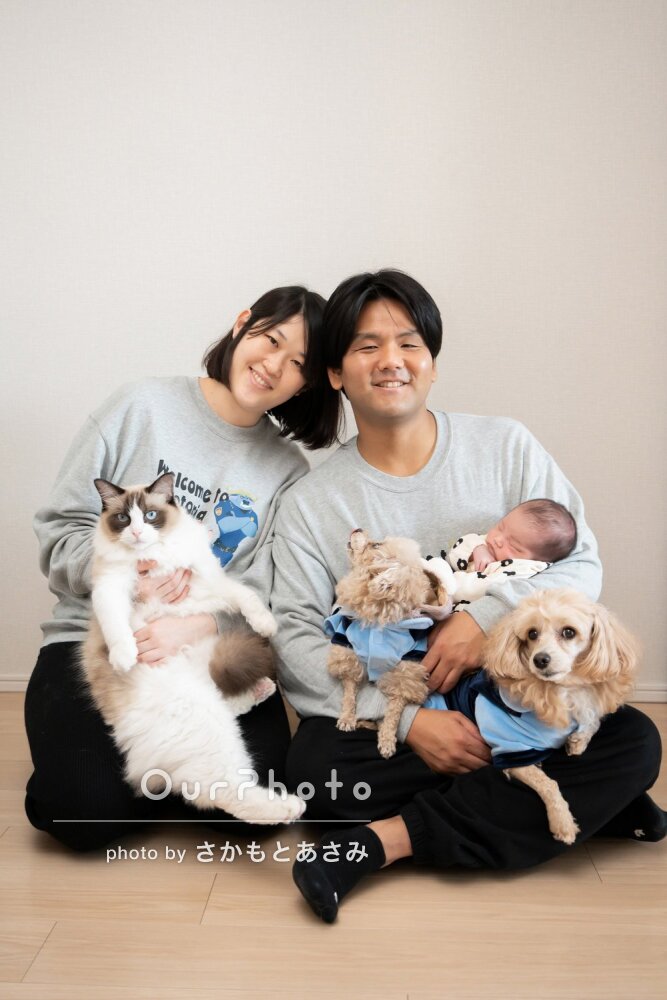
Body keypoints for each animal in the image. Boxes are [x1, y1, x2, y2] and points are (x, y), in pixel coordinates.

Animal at [80, 471, 305, 824]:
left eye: (150, 515)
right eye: (123, 519)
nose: (137, 532)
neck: (155, 557)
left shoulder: (211, 582)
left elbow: (248, 597)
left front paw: (266, 624)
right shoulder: (111, 588)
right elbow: (117, 626)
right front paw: (126, 656)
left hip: (210, 680)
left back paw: (262, 690)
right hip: (204, 718)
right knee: (216, 792)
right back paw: (289, 807)